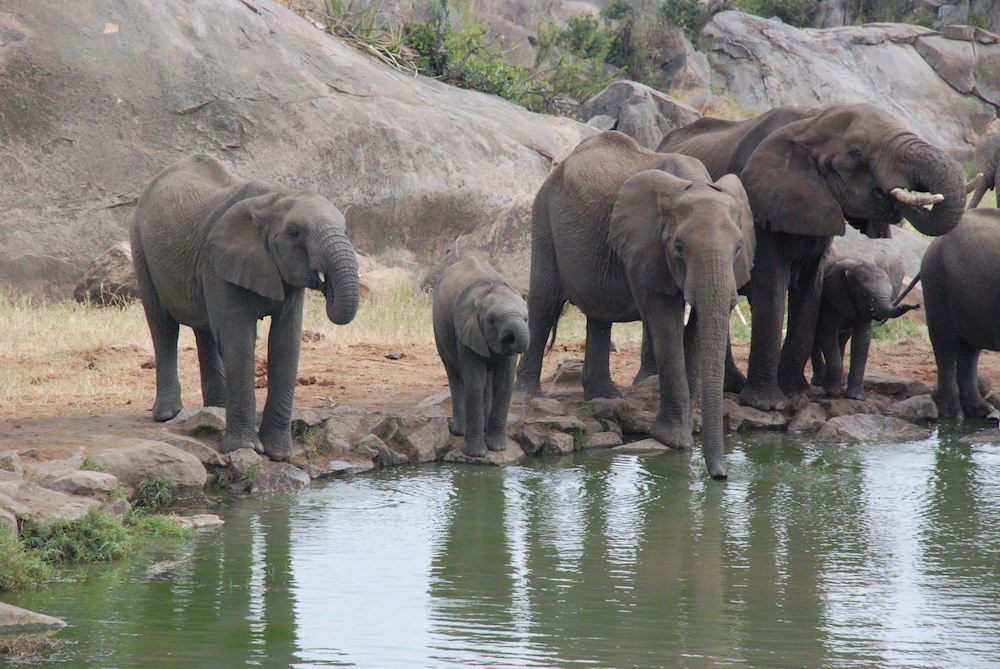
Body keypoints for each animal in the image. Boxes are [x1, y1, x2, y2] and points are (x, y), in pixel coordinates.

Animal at [130, 154, 360, 460]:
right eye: (294, 232)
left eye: (346, 230)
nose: (325, 283)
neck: (274, 199)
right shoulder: (217, 259)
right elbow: (239, 339)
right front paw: (245, 448)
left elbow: (286, 343)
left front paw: (279, 453)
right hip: (140, 245)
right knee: (162, 325)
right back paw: (168, 414)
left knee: (206, 332)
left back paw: (217, 408)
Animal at [433, 256, 529, 457]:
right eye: (492, 320)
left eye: (526, 319)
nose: (509, 340)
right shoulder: (466, 329)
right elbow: (474, 382)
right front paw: (476, 453)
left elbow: (505, 383)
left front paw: (498, 448)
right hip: (439, 326)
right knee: (454, 373)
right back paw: (459, 431)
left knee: (488, 379)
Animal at [513, 131, 755, 479]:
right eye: (678, 248)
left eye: (738, 248)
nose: (720, 476)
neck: (692, 183)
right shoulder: (645, 245)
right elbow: (665, 322)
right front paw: (673, 440)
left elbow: (694, 328)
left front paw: (684, 438)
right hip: (543, 214)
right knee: (545, 302)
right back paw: (528, 395)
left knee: (598, 313)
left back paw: (605, 396)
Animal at [811, 254, 918, 399]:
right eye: (864, 295)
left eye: (891, 294)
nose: (917, 306)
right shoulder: (829, 298)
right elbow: (827, 335)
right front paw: (833, 392)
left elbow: (861, 340)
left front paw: (855, 397)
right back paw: (819, 382)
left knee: (842, 339)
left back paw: (840, 381)